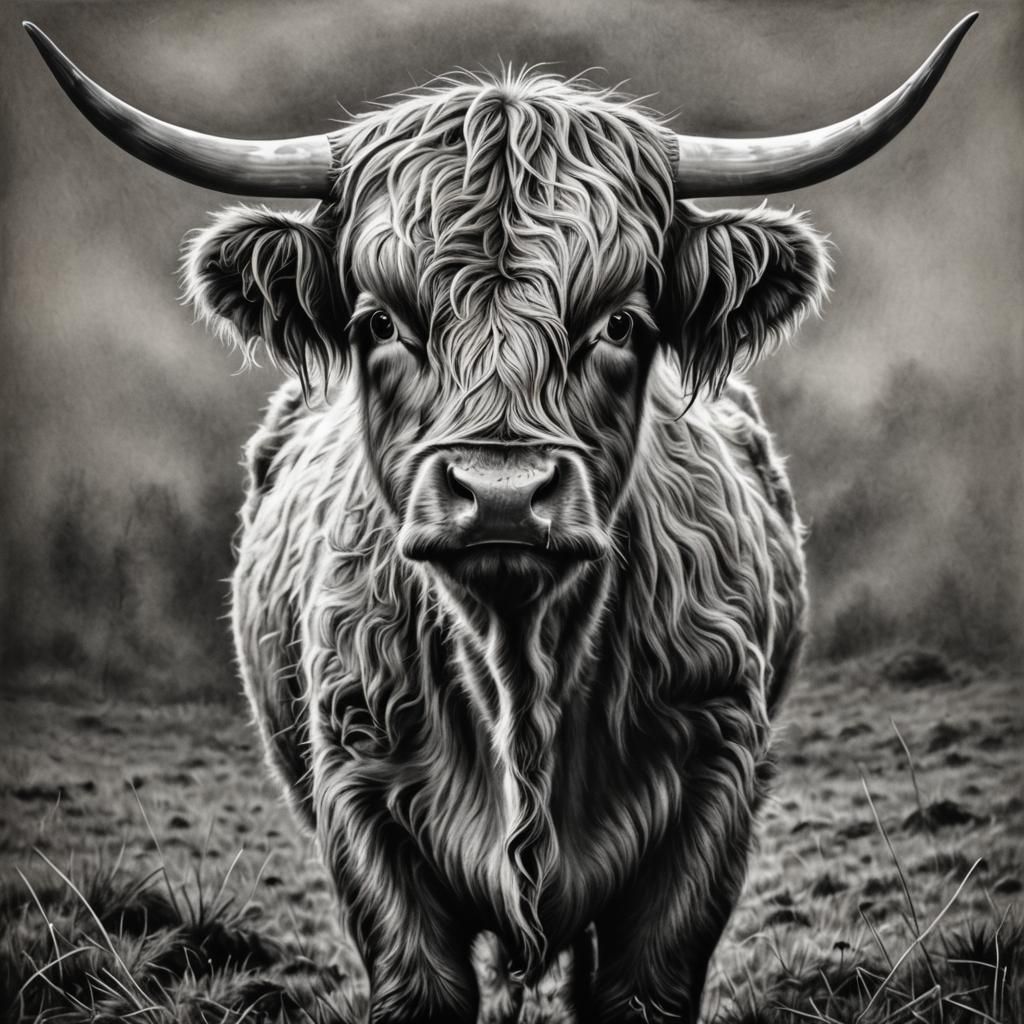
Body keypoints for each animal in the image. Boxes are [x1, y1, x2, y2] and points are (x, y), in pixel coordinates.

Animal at [27, 16, 975, 1024]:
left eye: (620, 323)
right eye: (379, 323)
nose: (504, 493)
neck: (522, 672)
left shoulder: (711, 790)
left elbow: (641, 985)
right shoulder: (361, 799)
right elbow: (423, 983)